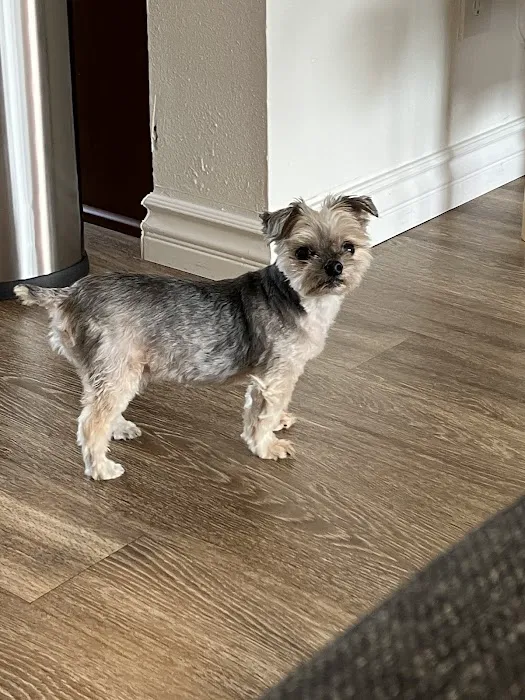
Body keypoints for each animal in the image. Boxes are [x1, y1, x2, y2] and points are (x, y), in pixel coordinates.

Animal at [14, 195, 377, 480]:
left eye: (349, 247)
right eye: (303, 252)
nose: (335, 267)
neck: (297, 296)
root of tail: (69, 294)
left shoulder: (269, 375)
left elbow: (263, 409)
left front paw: (278, 422)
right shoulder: (278, 373)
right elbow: (264, 413)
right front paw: (267, 446)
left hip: (104, 367)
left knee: (97, 403)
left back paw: (119, 428)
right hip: (119, 367)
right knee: (91, 422)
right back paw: (101, 467)